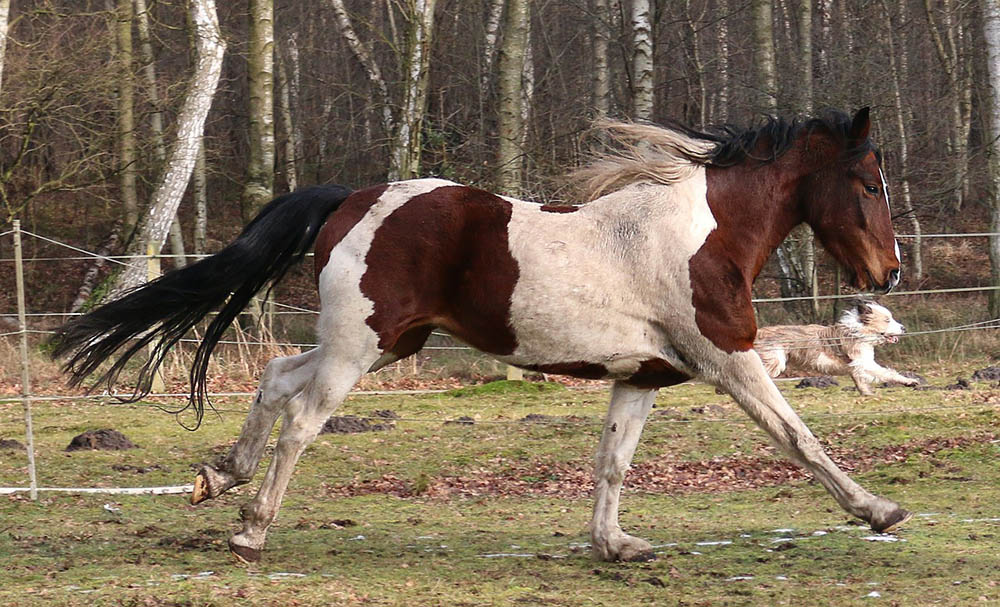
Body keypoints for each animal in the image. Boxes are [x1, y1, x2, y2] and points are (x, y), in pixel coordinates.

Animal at [51, 107, 909, 564]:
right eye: (868, 183)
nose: (890, 272)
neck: (703, 235)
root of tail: (350, 197)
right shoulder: (726, 359)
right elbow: (799, 435)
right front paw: (878, 510)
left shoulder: (641, 375)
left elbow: (613, 463)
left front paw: (615, 545)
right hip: (361, 347)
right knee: (300, 419)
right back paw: (251, 531)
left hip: (384, 342)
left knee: (275, 376)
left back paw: (218, 476)